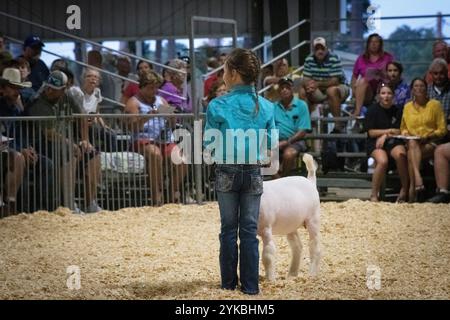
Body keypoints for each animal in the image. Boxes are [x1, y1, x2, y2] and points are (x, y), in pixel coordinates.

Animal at [256, 152, 320, 280]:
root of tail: (310, 181)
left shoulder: (266, 228)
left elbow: (268, 255)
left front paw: (270, 279)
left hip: (313, 219)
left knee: (314, 246)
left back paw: (311, 274)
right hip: (291, 225)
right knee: (297, 246)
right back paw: (292, 274)